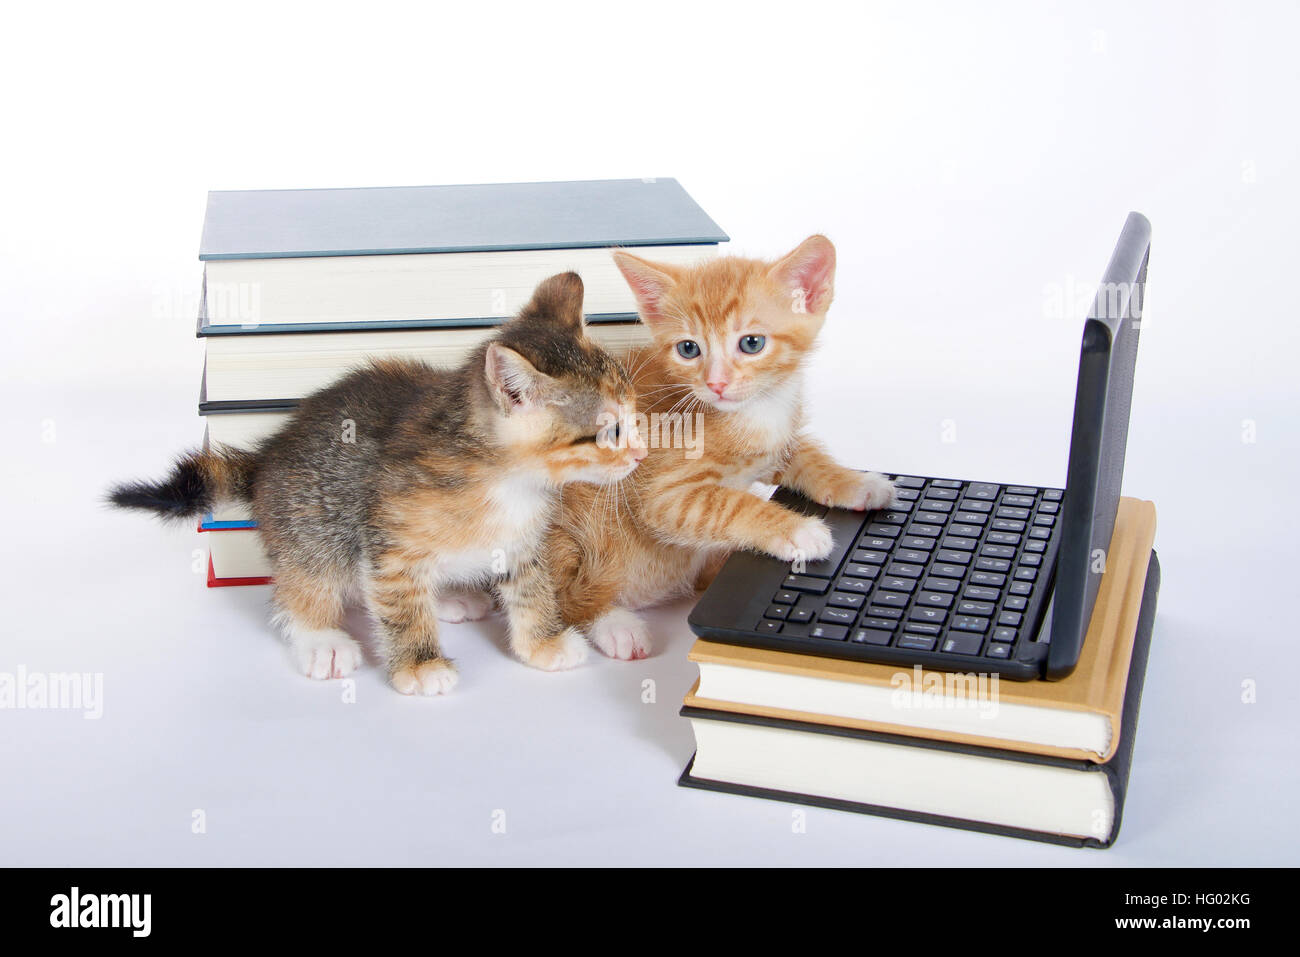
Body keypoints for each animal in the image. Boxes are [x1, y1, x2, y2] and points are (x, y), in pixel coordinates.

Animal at [111, 273, 644, 691]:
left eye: (635, 414)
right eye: (611, 431)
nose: (640, 453)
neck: (509, 481)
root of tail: (267, 456)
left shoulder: (521, 542)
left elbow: (532, 589)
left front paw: (543, 644)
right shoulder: (389, 540)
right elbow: (399, 604)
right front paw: (420, 667)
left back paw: (450, 596)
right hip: (310, 526)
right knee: (303, 581)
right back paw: (320, 637)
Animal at [548, 235, 894, 660]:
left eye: (752, 343)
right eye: (688, 349)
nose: (716, 383)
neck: (754, 411)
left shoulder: (774, 443)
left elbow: (803, 456)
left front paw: (857, 483)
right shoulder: (660, 493)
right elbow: (732, 503)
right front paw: (797, 530)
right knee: (563, 595)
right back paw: (615, 625)